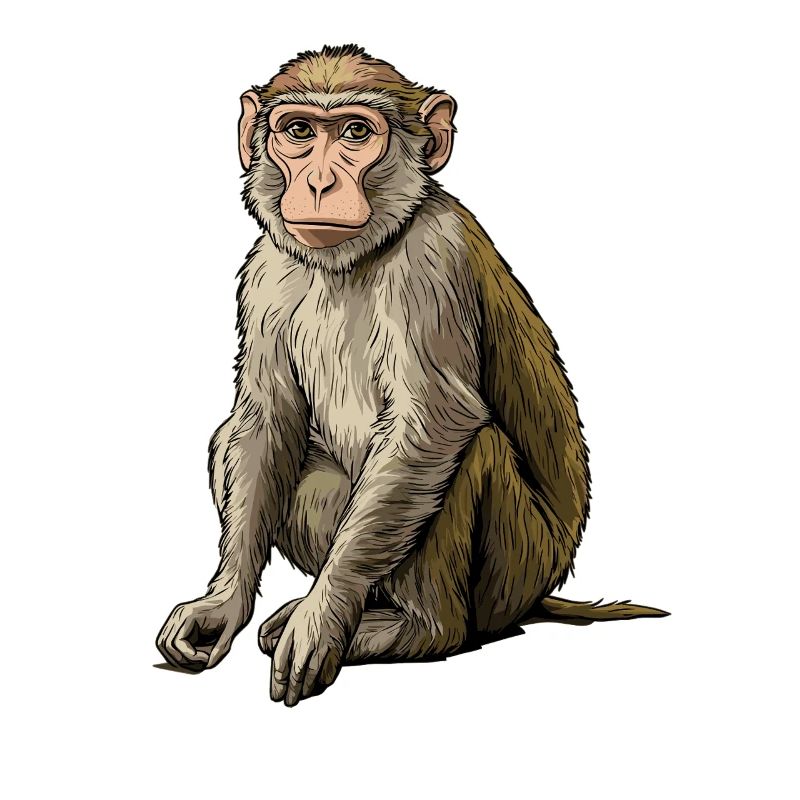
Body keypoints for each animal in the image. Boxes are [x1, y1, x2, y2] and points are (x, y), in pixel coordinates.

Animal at [156, 45, 668, 706]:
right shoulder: (265, 269)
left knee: (472, 449)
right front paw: (221, 606)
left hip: (513, 569)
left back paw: (416, 630)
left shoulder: (434, 260)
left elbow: (433, 425)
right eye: (299, 132)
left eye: (355, 133)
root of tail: (539, 589)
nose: (318, 182)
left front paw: (322, 619)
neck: (357, 254)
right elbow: (262, 422)